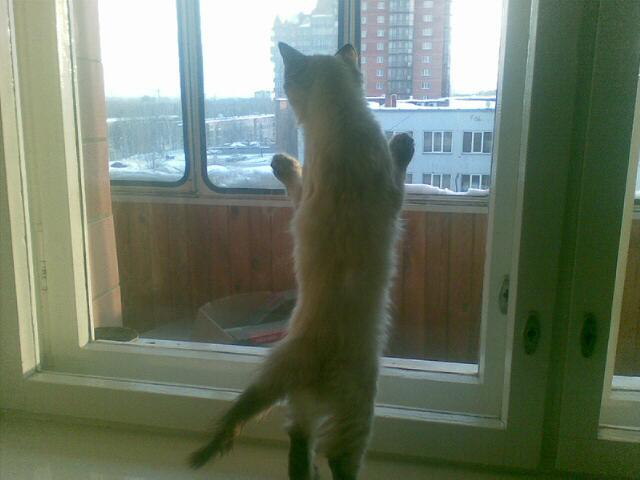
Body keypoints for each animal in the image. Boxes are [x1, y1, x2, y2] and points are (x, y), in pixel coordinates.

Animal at [190, 42, 414, 480]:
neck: (339, 120)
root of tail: (304, 358)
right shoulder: (392, 193)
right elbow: (399, 163)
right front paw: (405, 142)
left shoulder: (304, 195)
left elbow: (293, 180)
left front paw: (280, 163)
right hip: (358, 414)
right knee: (338, 460)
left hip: (288, 394)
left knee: (297, 443)